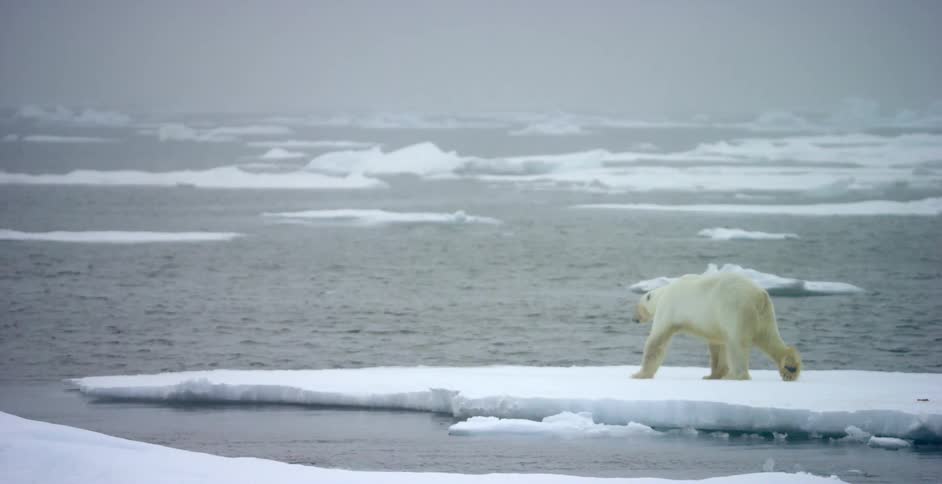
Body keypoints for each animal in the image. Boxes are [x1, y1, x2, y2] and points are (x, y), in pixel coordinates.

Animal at [631, 271, 801, 381]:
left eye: (637, 307)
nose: (634, 319)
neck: (663, 293)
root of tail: (759, 295)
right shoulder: (714, 323)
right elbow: (717, 346)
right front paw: (711, 375)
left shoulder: (668, 309)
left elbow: (657, 341)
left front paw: (639, 374)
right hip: (765, 315)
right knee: (770, 338)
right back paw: (790, 369)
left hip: (736, 311)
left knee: (737, 345)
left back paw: (734, 376)